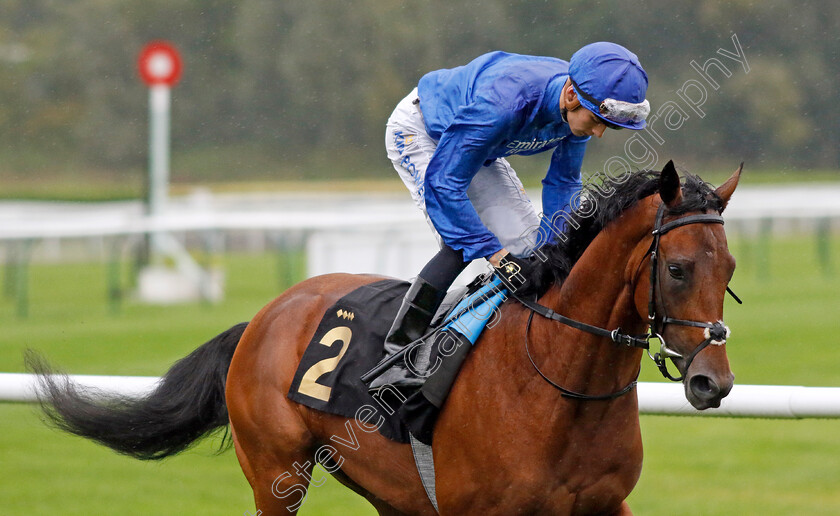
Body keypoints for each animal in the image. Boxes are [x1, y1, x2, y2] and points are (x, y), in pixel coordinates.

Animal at [29, 159, 740, 512]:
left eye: (729, 268)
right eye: (678, 268)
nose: (714, 381)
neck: (559, 385)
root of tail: (262, 316)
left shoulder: (602, 506)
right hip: (276, 474)